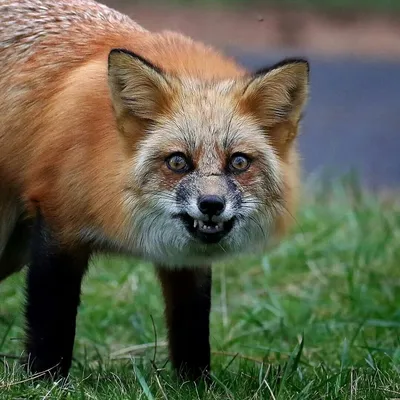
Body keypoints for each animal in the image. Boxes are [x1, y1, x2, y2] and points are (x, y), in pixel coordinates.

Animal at [0, 0, 310, 382]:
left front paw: (196, 383)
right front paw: (44, 380)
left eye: (238, 162)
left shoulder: (187, 261)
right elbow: (51, 322)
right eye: (177, 162)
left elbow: (192, 326)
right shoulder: (58, 224)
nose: (211, 204)